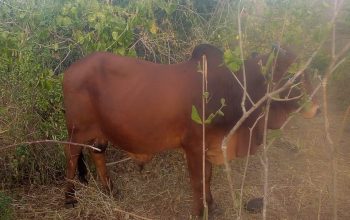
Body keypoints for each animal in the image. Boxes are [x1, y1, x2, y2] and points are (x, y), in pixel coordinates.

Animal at [63, 43, 320, 216]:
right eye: (291, 76)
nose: (316, 109)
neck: (231, 86)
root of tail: (69, 70)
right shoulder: (194, 146)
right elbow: (198, 181)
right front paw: (199, 212)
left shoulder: (210, 144)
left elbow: (208, 177)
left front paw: (212, 206)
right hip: (77, 129)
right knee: (72, 155)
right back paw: (70, 198)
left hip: (99, 131)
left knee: (97, 152)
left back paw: (110, 190)